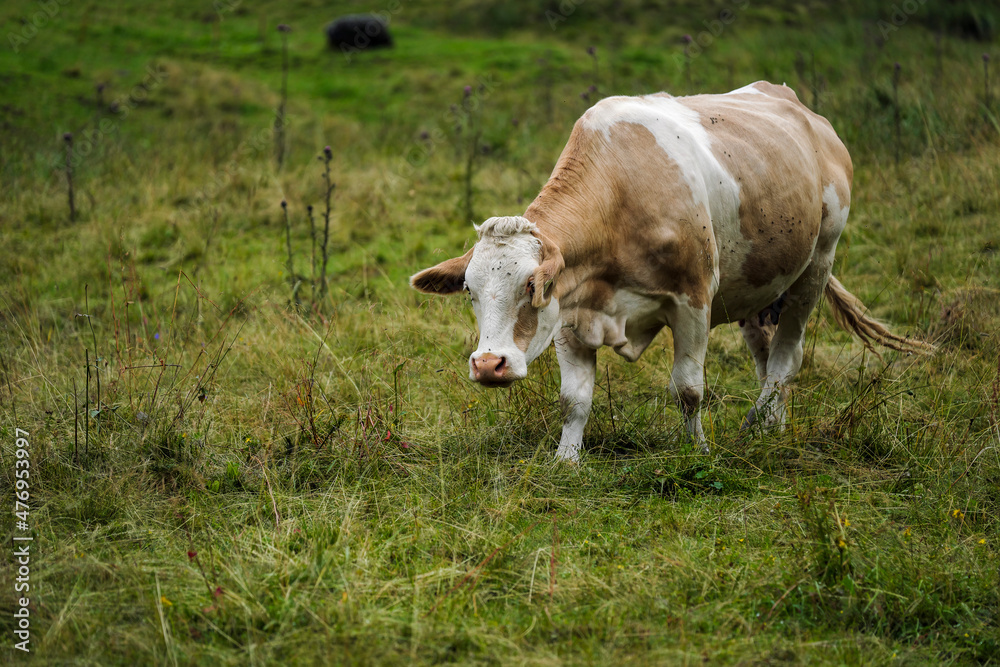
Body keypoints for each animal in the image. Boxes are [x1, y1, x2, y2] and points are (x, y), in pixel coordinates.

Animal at [411, 81, 932, 462]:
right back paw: (771, 426)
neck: (620, 195)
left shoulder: (693, 301)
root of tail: (801, 108)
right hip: (757, 285)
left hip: (815, 266)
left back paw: (757, 425)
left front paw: (698, 450)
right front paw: (566, 460)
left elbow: (688, 389)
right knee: (767, 358)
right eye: (470, 291)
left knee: (787, 358)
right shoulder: (573, 315)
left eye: (533, 287)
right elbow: (573, 398)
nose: (488, 364)